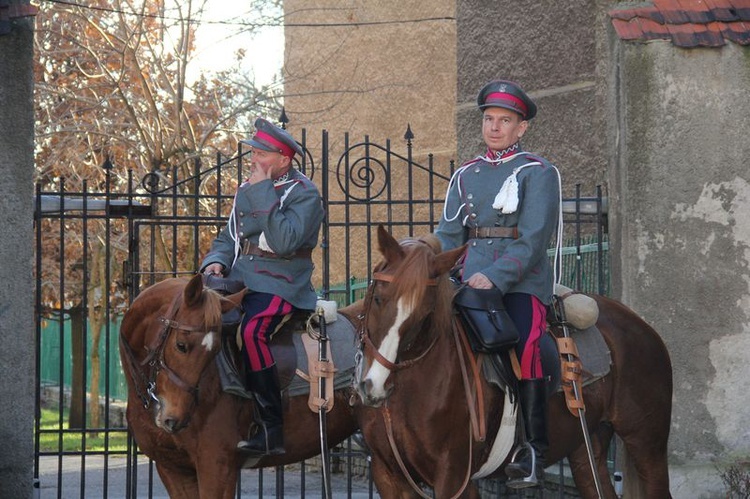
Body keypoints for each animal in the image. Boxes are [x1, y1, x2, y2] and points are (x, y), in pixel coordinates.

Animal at [352, 228, 676, 499]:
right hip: (586, 448)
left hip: (646, 443)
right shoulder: (389, 475)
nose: (375, 386)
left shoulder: (453, 476)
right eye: (378, 298)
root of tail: (640, 325)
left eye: (424, 312)